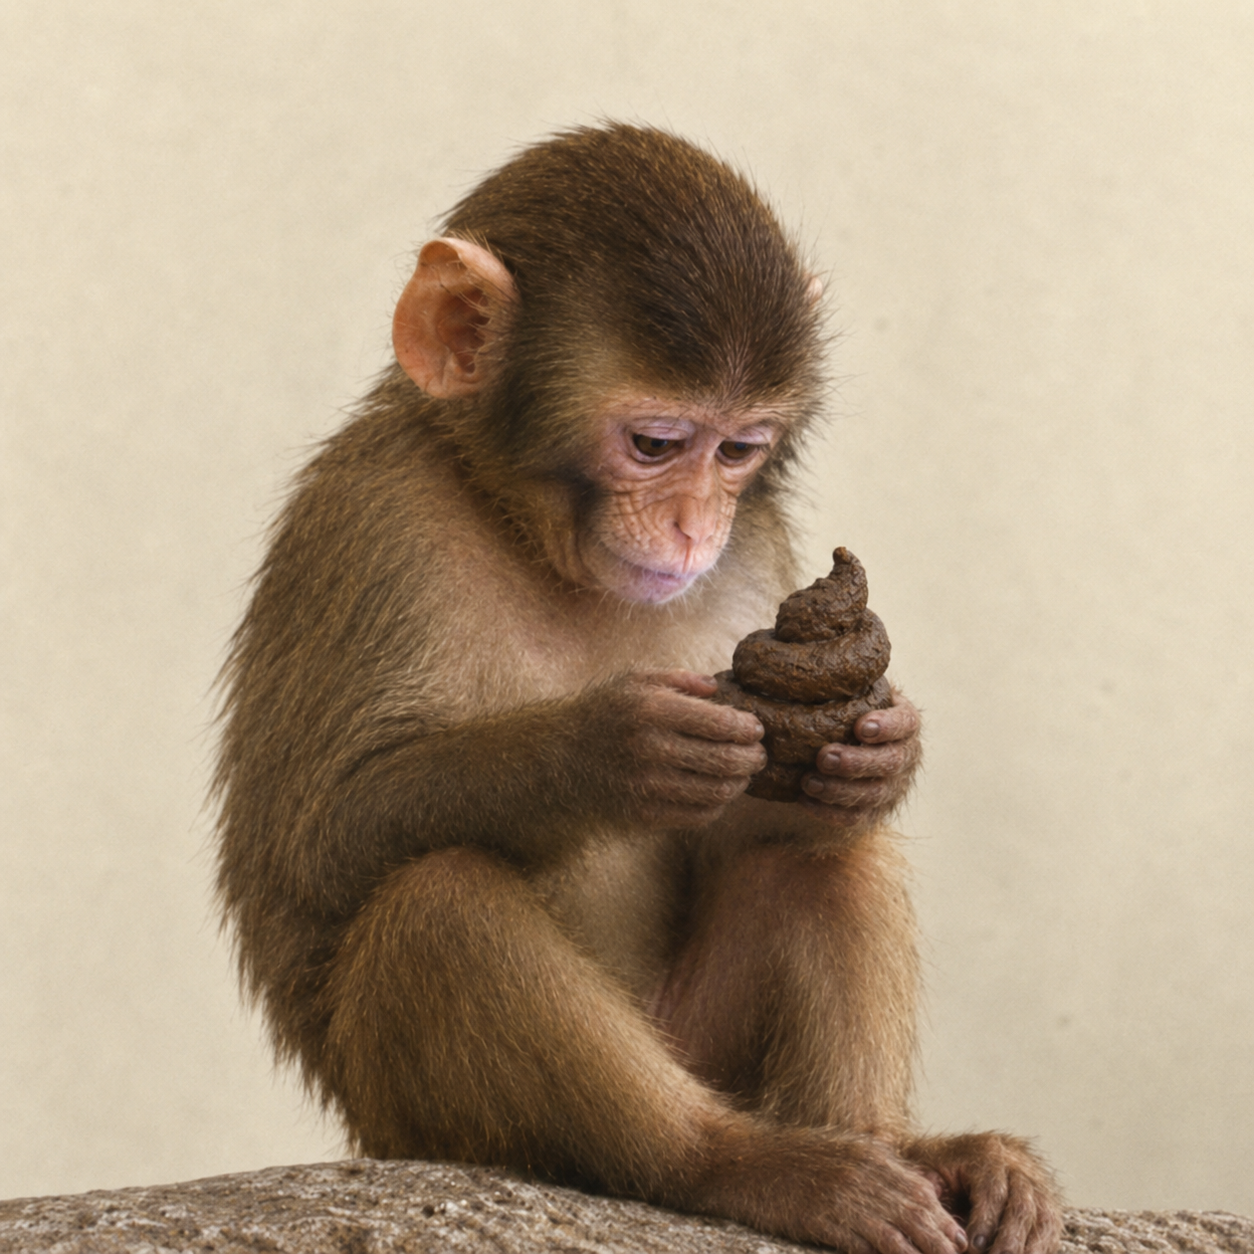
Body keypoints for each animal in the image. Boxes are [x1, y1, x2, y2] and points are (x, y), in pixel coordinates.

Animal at [213, 123, 1061, 1254]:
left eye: (739, 449)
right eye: (656, 445)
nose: (696, 527)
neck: (527, 530)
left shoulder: (759, 550)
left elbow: (790, 806)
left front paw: (886, 750)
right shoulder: (370, 517)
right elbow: (314, 841)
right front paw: (612, 749)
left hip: (699, 1037)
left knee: (821, 849)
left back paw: (899, 1146)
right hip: (415, 1121)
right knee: (440, 901)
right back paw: (732, 1164)